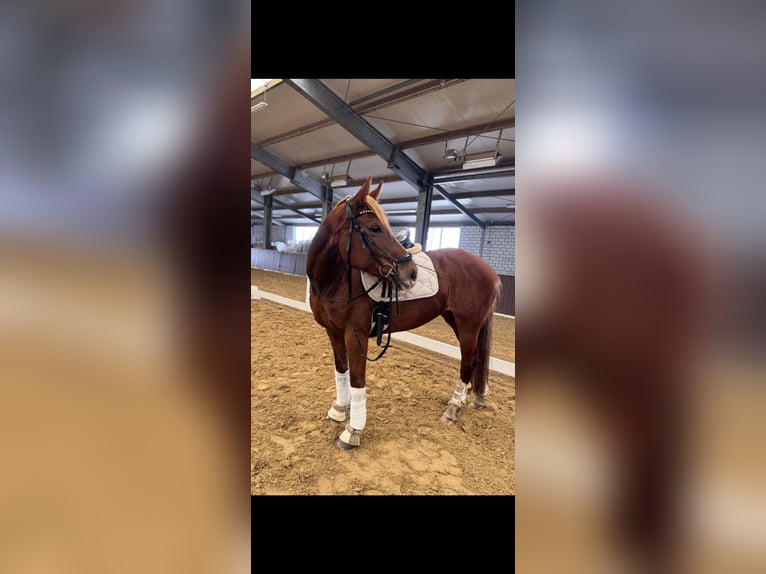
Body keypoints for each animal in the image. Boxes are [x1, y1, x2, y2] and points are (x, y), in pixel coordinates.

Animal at [306, 176, 502, 450]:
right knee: (474, 362)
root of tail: (491, 272)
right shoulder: (333, 333)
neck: (336, 280)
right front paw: (339, 410)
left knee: (468, 361)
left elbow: (357, 380)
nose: (411, 273)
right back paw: (465, 400)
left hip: (468, 325)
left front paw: (352, 431)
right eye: (375, 228)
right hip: (455, 320)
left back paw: (453, 408)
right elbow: (341, 371)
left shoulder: (355, 335)